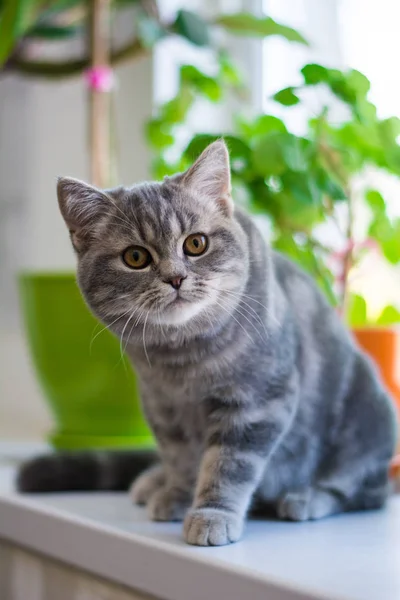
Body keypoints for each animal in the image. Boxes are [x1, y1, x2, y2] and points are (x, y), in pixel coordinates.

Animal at [18, 143, 396, 548]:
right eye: (135, 257)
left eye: (196, 244)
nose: (175, 277)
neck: (183, 359)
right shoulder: (163, 408)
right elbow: (180, 457)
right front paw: (176, 494)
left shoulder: (257, 401)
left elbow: (229, 465)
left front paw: (212, 514)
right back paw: (152, 481)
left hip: (368, 417)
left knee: (364, 490)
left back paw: (308, 498)